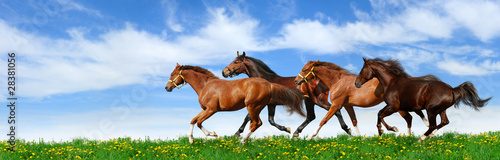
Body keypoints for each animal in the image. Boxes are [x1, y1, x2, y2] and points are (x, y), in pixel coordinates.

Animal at [166, 63, 304, 144]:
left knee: (257, 123)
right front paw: (191, 140)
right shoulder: (205, 109)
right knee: (257, 123)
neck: (205, 86)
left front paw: (213, 134)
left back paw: (242, 141)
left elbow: (199, 122)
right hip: (258, 107)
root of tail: (268, 84)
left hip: (253, 107)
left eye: (172, 74)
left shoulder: (211, 110)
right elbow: (193, 120)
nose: (167, 88)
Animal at [223, 51, 352, 138]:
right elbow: (270, 120)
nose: (224, 72)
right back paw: (296, 133)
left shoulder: (260, 103)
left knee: (334, 111)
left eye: (235, 62)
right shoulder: (271, 104)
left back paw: (347, 129)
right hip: (309, 101)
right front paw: (287, 129)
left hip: (318, 101)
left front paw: (237, 133)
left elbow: (248, 117)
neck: (264, 79)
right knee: (311, 116)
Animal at [292, 60, 430, 140]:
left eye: (304, 69)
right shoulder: (348, 106)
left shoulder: (336, 105)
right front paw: (359, 139)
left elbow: (324, 120)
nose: (296, 81)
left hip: (397, 106)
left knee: (409, 117)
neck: (337, 81)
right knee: (410, 117)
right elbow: (354, 121)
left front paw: (310, 137)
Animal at [354, 57, 490, 141]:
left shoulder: (393, 107)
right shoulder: (394, 107)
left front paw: (392, 129)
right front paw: (381, 131)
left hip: (431, 110)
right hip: (441, 109)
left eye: (362, 70)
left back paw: (421, 139)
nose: (356, 83)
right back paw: (430, 136)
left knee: (433, 125)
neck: (391, 83)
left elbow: (381, 115)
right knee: (444, 122)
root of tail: (452, 89)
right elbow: (379, 114)